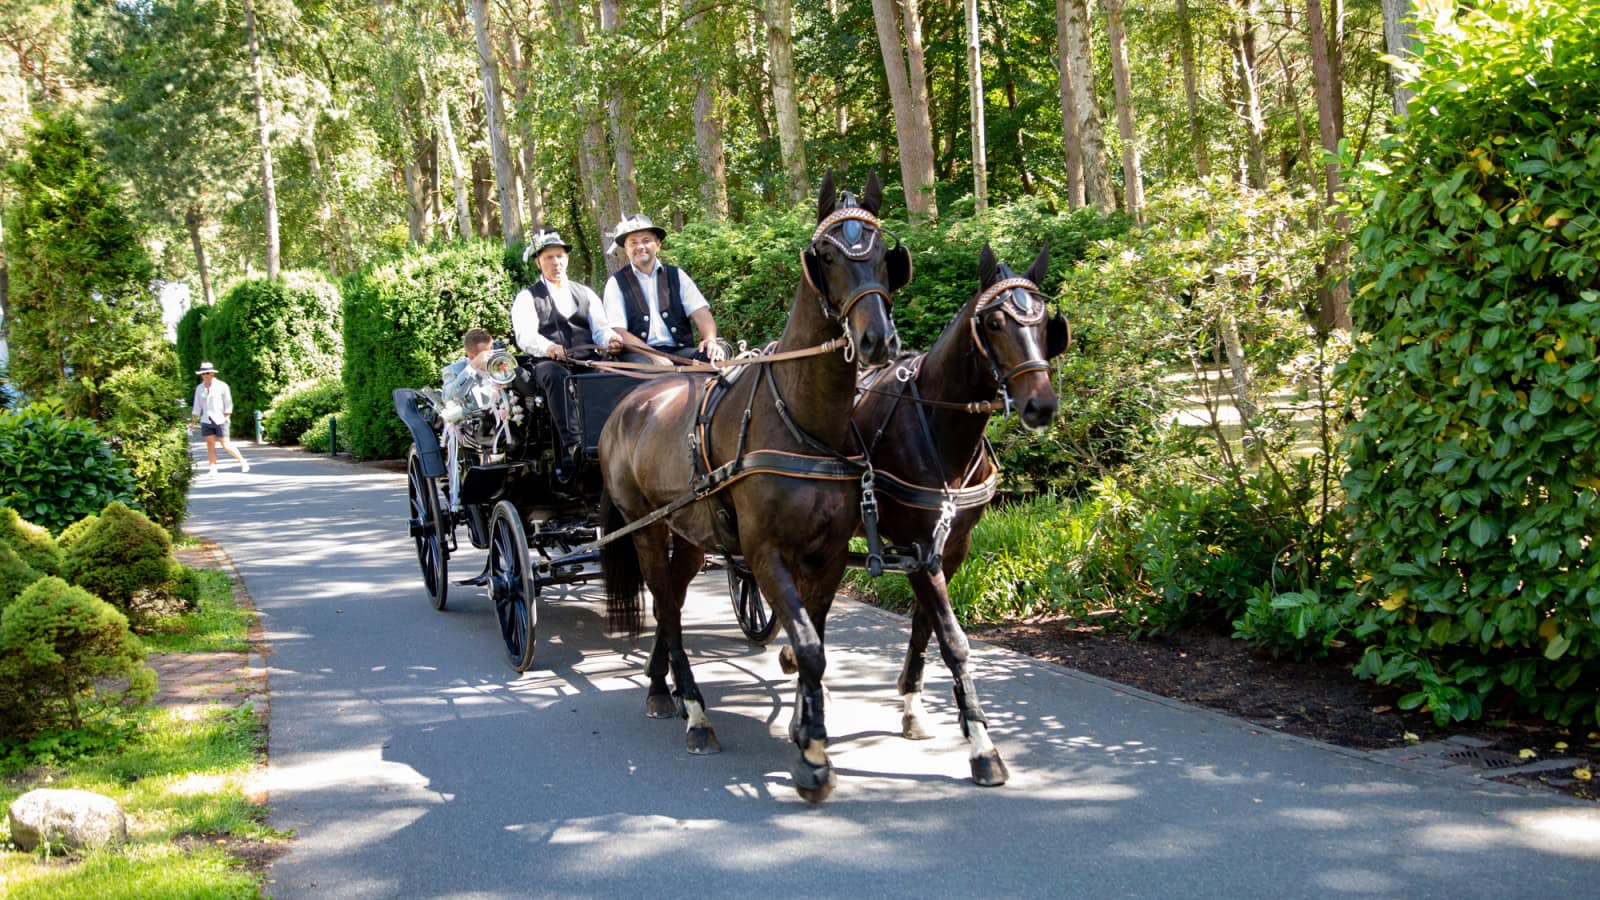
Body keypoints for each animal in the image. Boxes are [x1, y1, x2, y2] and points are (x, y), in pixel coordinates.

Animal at [601, 171, 908, 800]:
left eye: (883, 254)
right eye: (826, 255)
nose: (876, 341)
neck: (801, 420)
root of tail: (631, 401)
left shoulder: (828, 555)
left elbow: (815, 641)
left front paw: (805, 725)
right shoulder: (767, 554)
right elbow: (809, 648)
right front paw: (812, 756)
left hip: (690, 536)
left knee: (672, 600)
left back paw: (660, 687)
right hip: (645, 530)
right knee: (666, 609)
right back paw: (694, 712)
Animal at [857, 243, 1068, 784]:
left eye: (1046, 323)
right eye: (993, 322)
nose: (1040, 406)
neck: (937, 424)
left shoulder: (951, 548)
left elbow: (924, 626)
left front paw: (913, 706)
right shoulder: (916, 545)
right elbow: (953, 640)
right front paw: (981, 745)